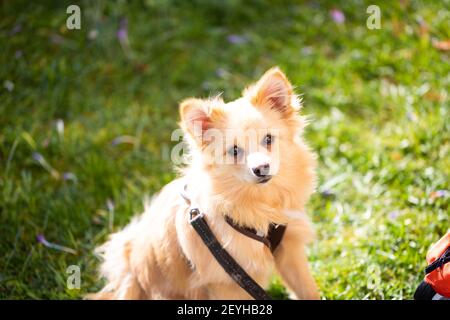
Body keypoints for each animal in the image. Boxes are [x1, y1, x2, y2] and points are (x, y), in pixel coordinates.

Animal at [89, 67, 318, 300]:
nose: (261, 168)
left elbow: (308, 291)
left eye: (269, 139)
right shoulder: (226, 281)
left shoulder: (291, 251)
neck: (260, 201)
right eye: (234, 150)